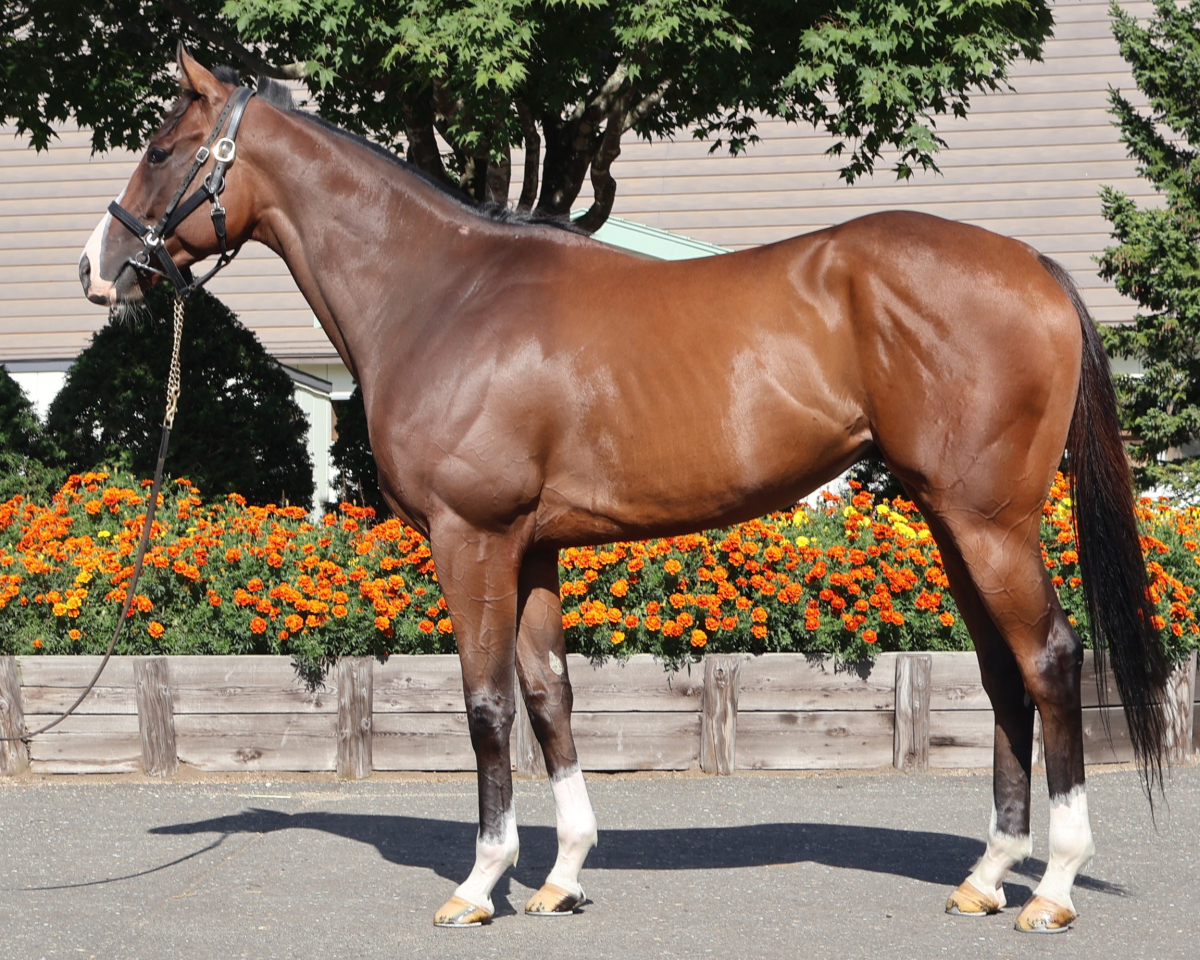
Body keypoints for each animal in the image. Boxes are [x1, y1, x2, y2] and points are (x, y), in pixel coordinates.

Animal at [79, 48, 1169, 933]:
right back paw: (987, 877)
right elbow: (549, 695)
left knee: (1052, 660)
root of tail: (1031, 265)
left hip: (990, 522)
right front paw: (560, 877)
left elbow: (485, 702)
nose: (99, 267)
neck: (442, 295)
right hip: (952, 521)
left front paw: (481, 885)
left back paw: (1053, 888)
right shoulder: (530, 546)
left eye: (164, 150)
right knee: (1003, 674)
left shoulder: (472, 537)